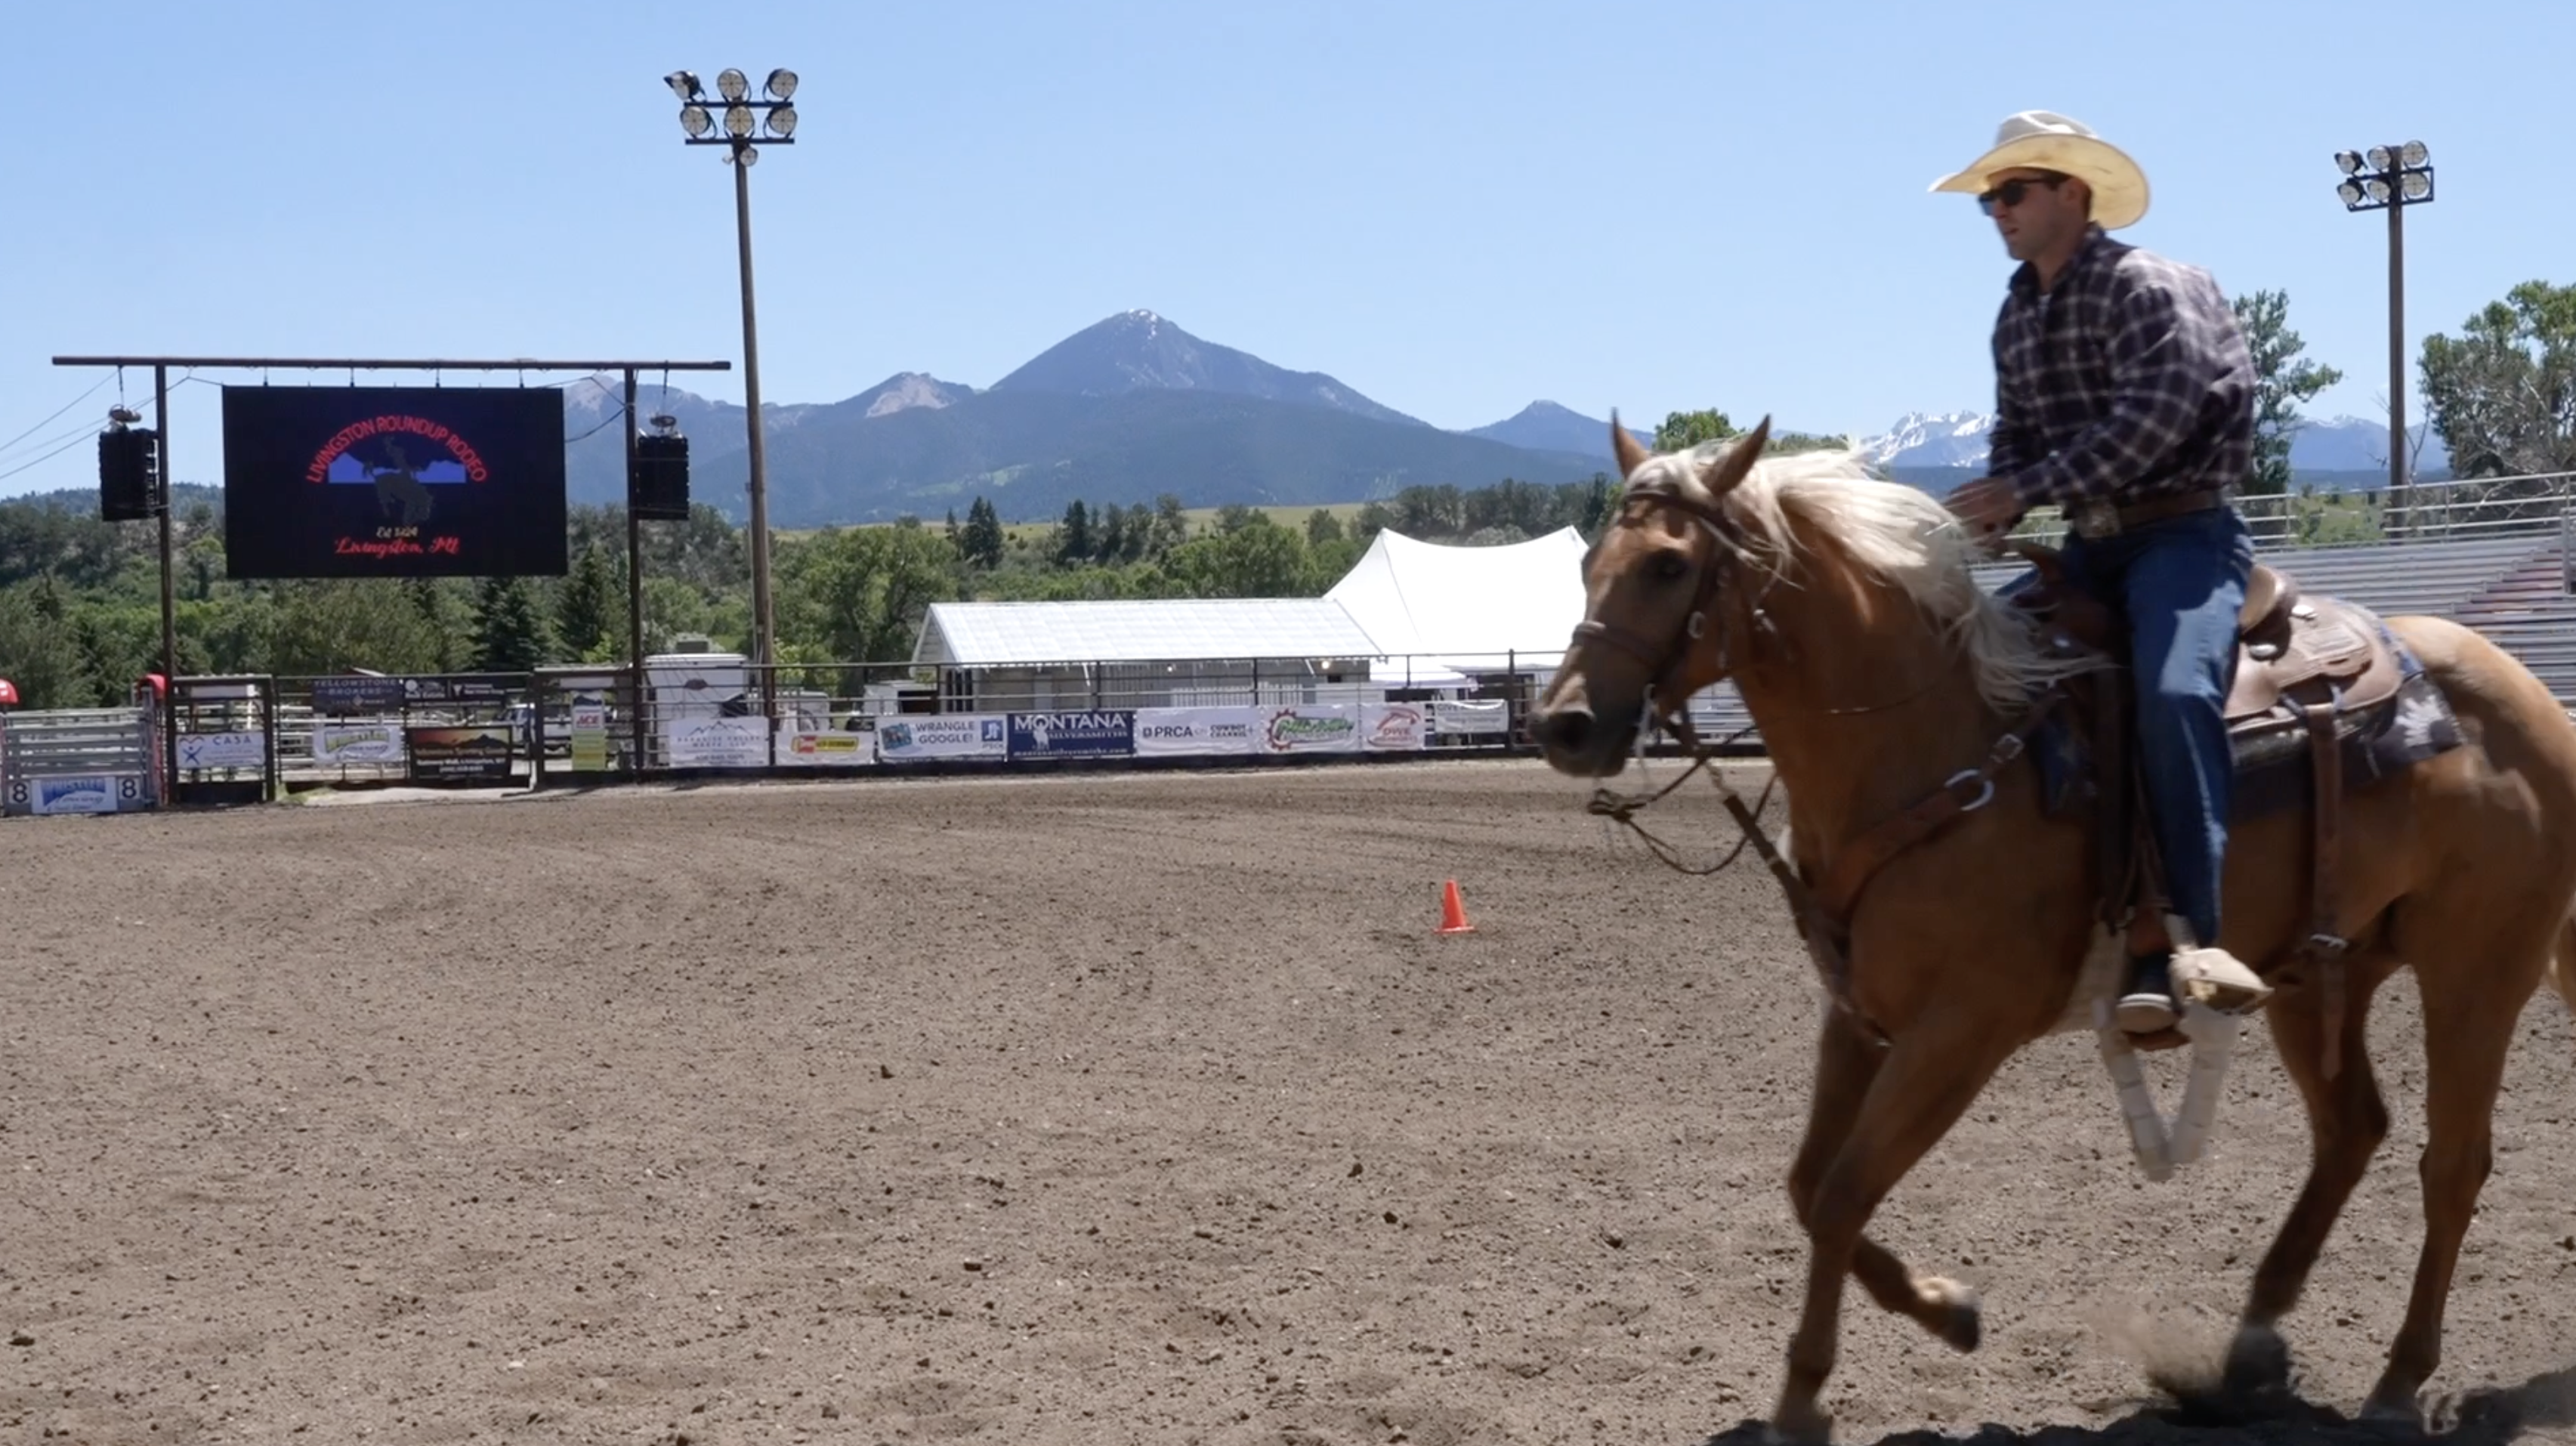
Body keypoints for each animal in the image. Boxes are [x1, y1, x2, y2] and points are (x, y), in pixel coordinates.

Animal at [1529, 418, 2576, 1442]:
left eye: (1667, 564)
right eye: (1587, 564)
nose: (1564, 725)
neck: (1931, 743)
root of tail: (2525, 695)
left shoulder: (1960, 1030)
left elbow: (1841, 1192)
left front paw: (1807, 1396)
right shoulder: (1858, 1015)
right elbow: (1807, 1185)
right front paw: (1946, 1312)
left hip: (2476, 969)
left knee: (2451, 1163)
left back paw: (2396, 1382)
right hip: (2321, 973)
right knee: (2352, 1129)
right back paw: (2242, 1362)